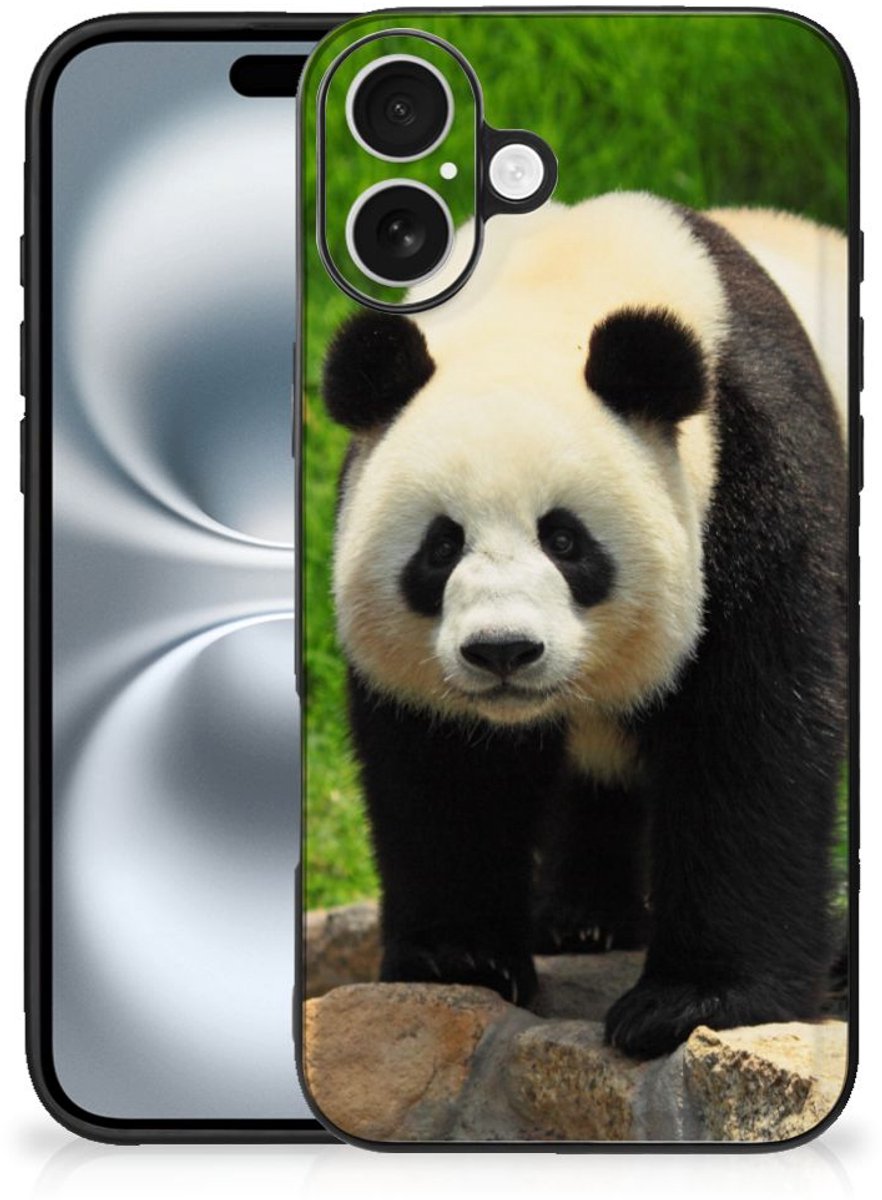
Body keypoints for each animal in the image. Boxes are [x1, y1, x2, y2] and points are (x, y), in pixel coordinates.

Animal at [320, 192, 848, 1059]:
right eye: (440, 546)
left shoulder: (755, 474)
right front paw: (460, 959)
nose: (503, 651)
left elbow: (752, 734)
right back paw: (583, 920)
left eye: (565, 541)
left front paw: (691, 1001)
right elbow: (444, 766)